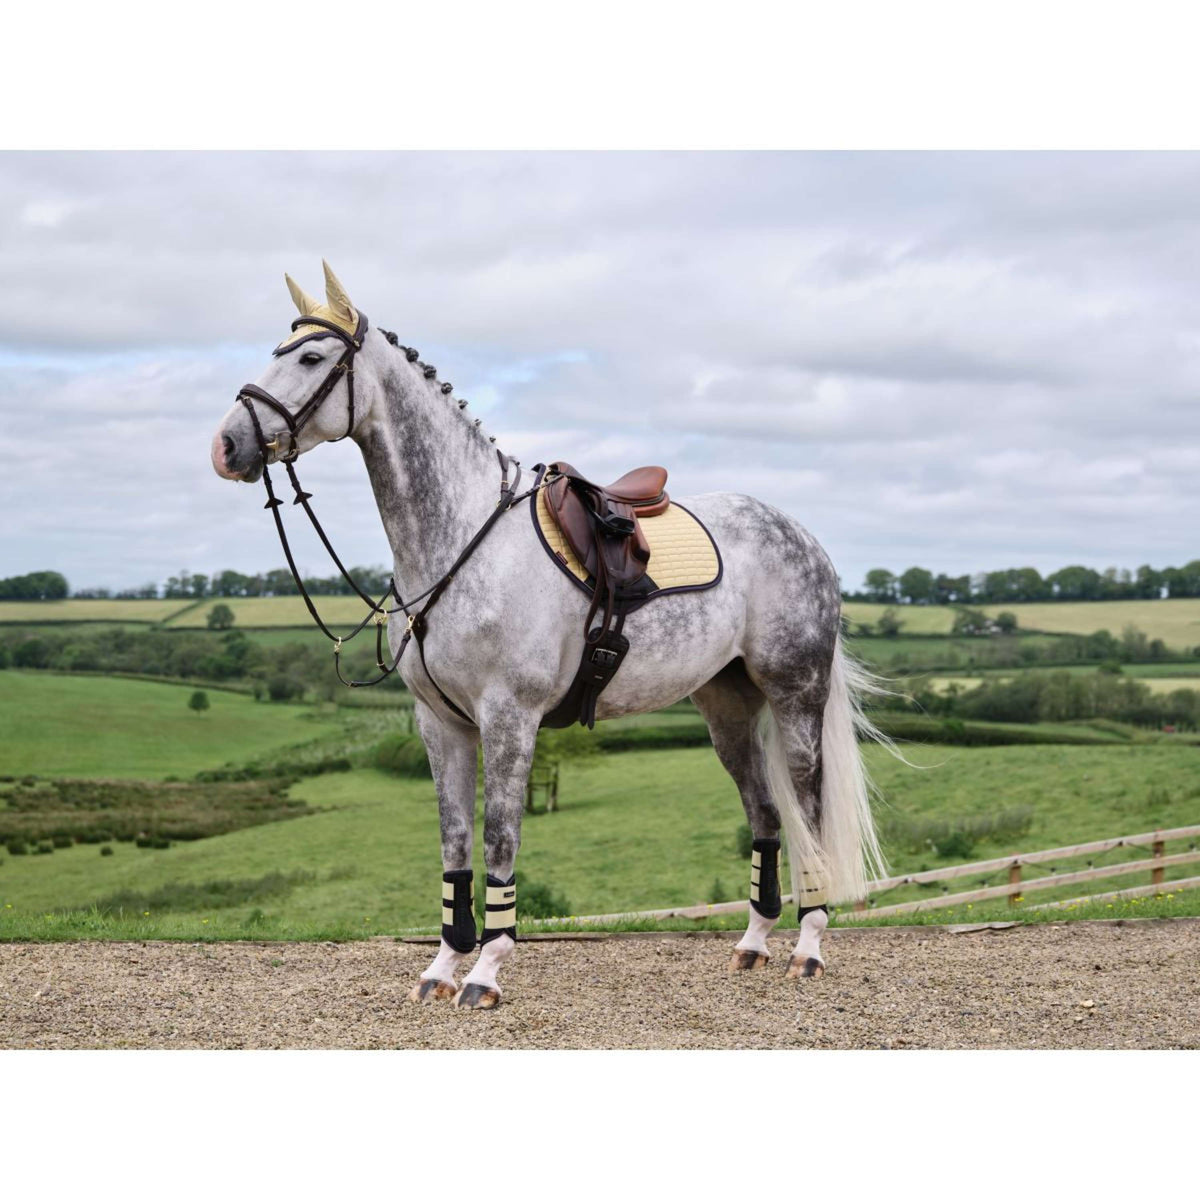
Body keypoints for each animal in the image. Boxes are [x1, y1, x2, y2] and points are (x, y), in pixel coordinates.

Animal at [211, 265, 888, 1012]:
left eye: (309, 357)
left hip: (795, 695)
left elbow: (500, 841)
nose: (227, 446)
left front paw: (485, 972)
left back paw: (808, 947)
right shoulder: (439, 724)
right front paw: (442, 966)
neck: (463, 538)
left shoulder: (510, 718)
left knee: (808, 808)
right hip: (726, 709)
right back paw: (753, 943)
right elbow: (455, 845)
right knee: (765, 814)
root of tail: (800, 534)